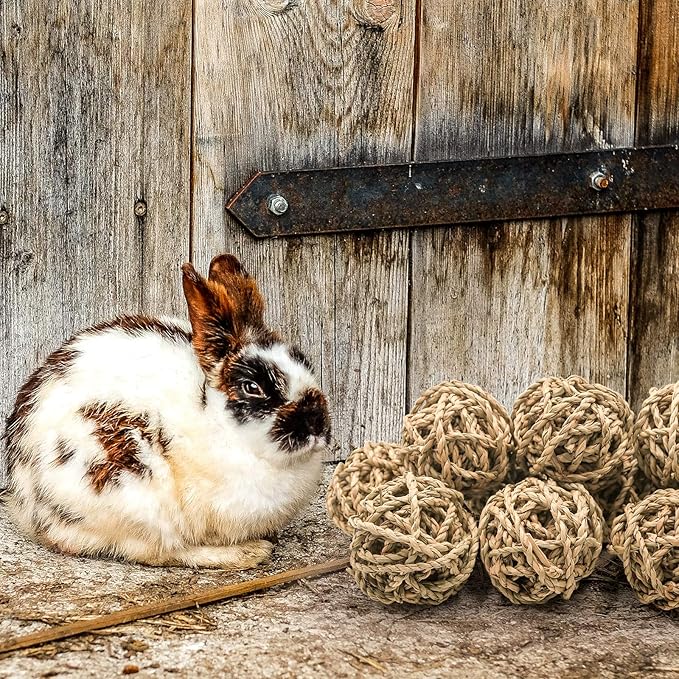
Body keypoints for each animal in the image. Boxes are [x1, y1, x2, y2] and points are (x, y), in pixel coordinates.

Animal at [2, 254, 330, 569]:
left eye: (305, 363)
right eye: (252, 387)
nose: (316, 422)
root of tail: (27, 504)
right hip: (133, 488)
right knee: (160, 550)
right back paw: (247, 553)